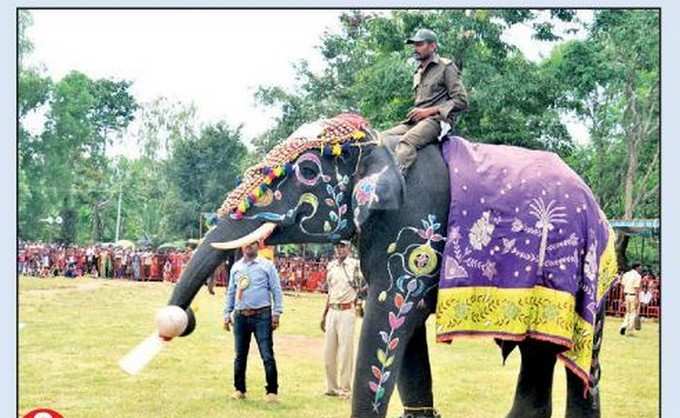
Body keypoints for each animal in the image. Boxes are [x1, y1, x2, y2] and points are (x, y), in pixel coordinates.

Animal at [159, 113, 616, 418]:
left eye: (307, 170)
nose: (182, 319)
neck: (381, 143)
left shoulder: (417, 229)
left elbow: (389, 319)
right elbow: (405, 338)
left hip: (587, 275)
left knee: (579, 366)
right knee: (547, 361)